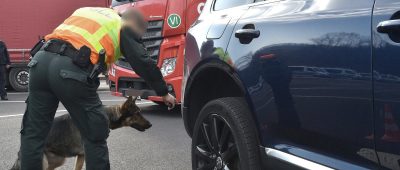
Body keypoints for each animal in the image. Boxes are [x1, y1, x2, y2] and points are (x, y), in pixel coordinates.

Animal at [10, 97, 152, 170]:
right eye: (137, 113)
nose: (151, 125)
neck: (107, 115)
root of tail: (20, 150)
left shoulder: (81, 156)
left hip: (57, 160)